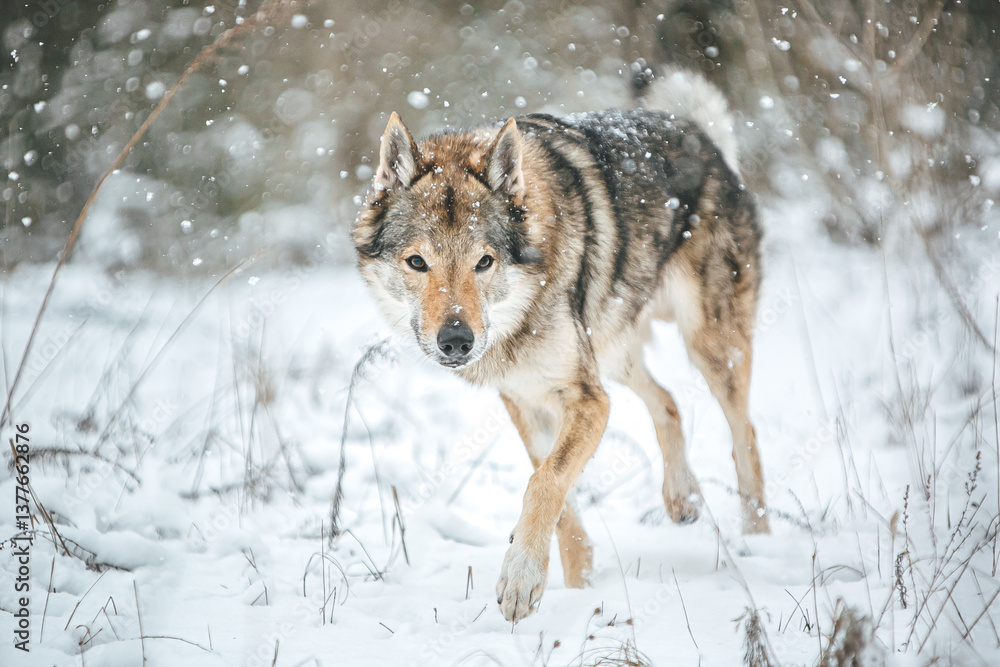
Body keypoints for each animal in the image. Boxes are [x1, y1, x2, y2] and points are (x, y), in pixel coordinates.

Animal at [353, 68, 768, 623]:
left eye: (484, 262)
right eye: (418, 262)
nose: (457, 341)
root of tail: (700, 133)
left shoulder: (585, 399)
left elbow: (545, 482)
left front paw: (523, 576)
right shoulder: (528, 400)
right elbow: (556, 492)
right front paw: (577, 585)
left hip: (707, 348)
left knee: (745, 434)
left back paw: (760, 543)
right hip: (613, 354)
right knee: (668, 402)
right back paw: (682, 498)